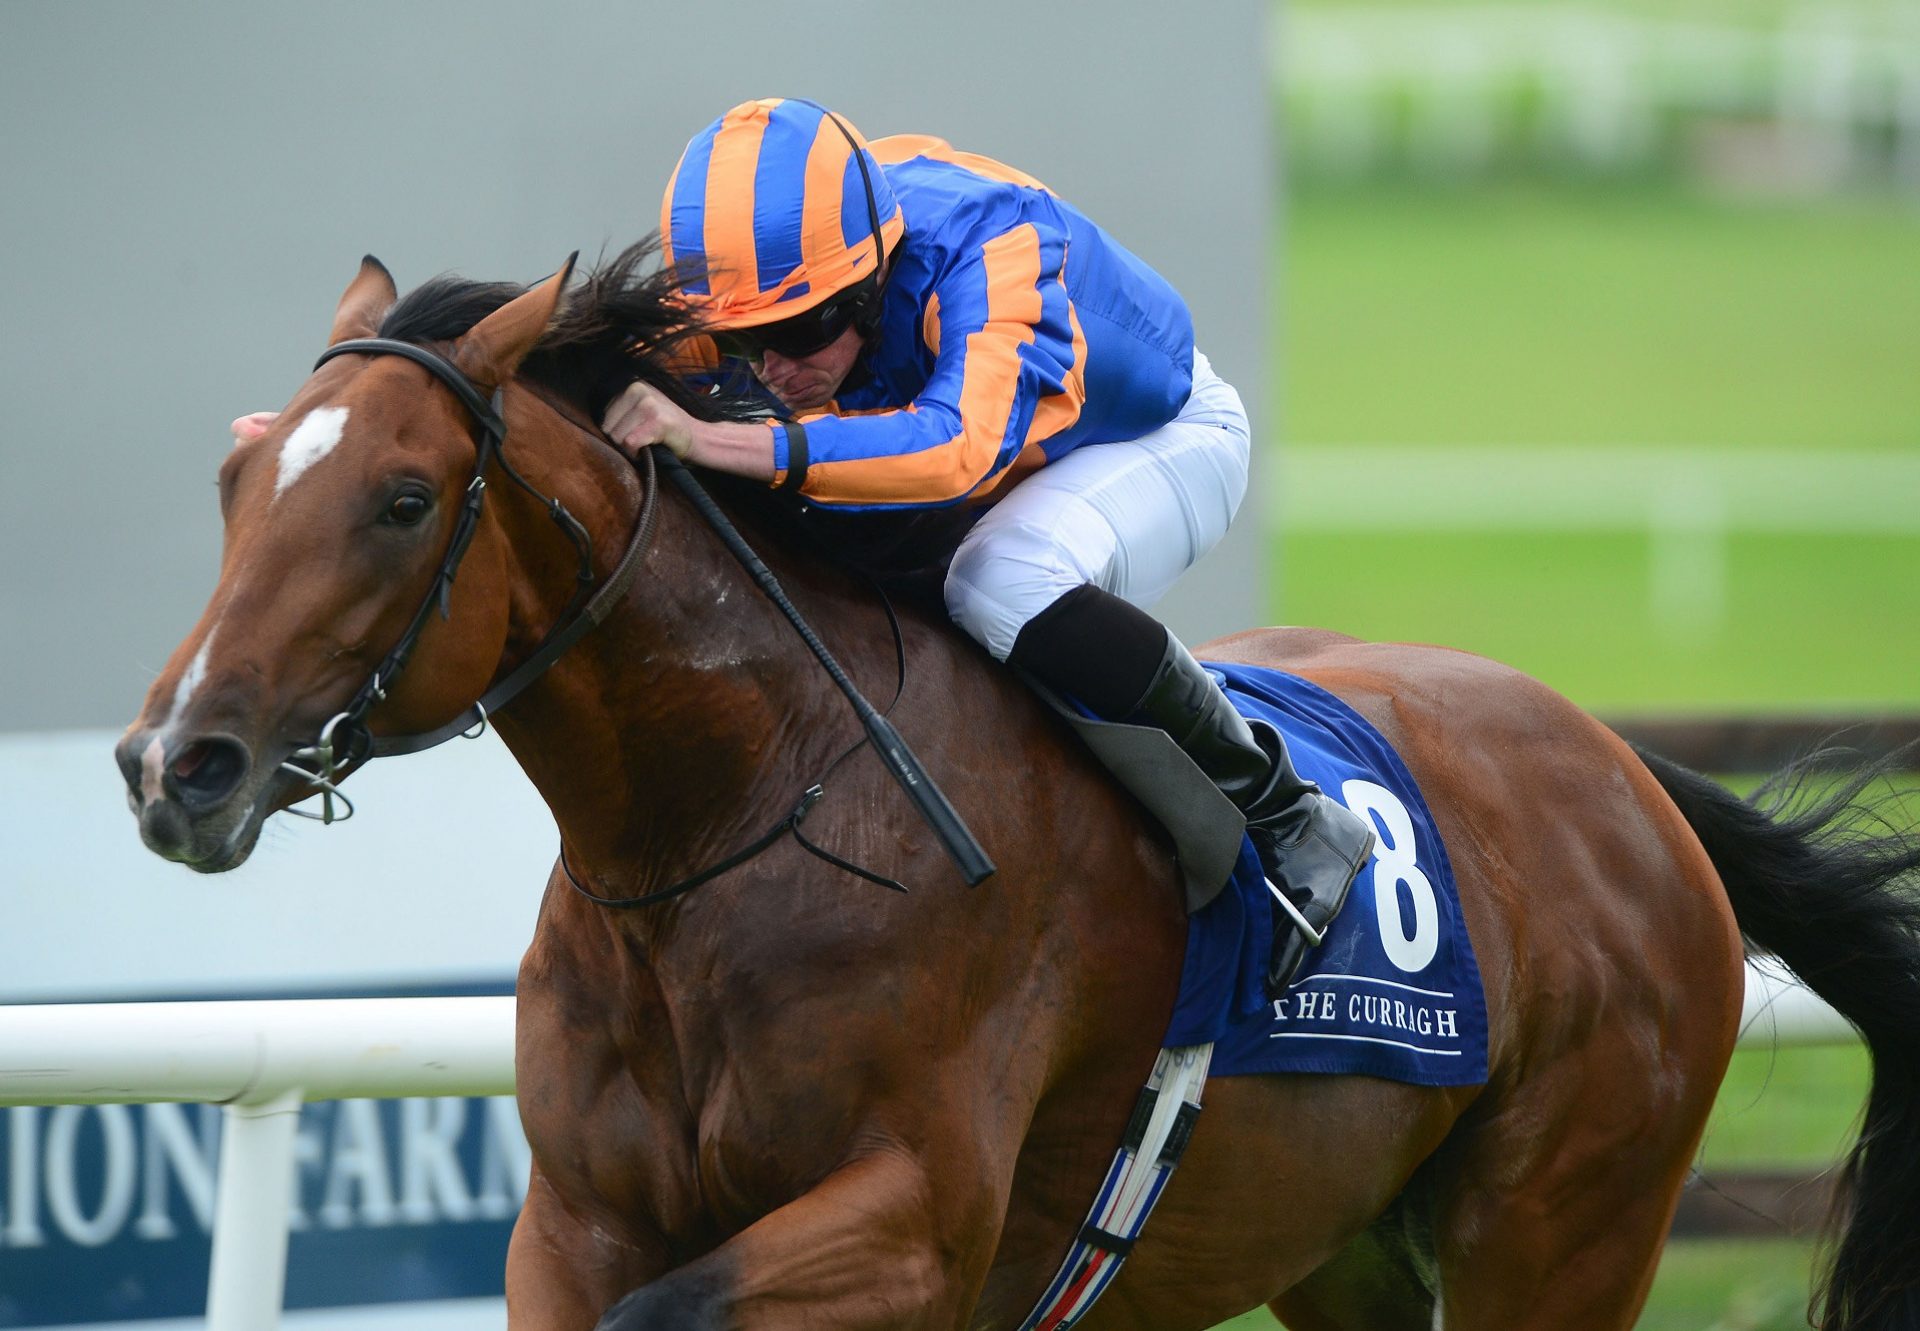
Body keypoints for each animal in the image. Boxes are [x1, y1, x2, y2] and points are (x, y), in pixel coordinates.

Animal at [116, 251, 1920, 1329]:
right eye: (233, 475)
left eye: (403, 498)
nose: (173, 762)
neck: (728, 826)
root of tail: (1628, 773)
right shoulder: (568, 1220)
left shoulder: (915, 1222)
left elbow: (681, 1304)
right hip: (1344, 1240)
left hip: (1565, 1223)